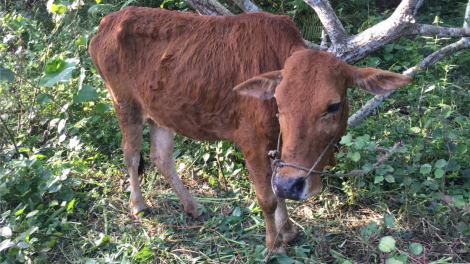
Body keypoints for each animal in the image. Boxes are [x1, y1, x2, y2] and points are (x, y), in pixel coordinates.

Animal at [90, 7, 414, 253]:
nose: (296, 185)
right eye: (278, 103)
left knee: (161, 157)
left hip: (160, 112)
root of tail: (108, 22)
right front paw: (275, 245)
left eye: (333, 106)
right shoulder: (252, 142)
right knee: (131, 155)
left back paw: (193, 206)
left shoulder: (279, 152)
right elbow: (268, 197)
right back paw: (138, 205)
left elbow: (278, 189)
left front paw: (287, 230)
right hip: (125, 104)